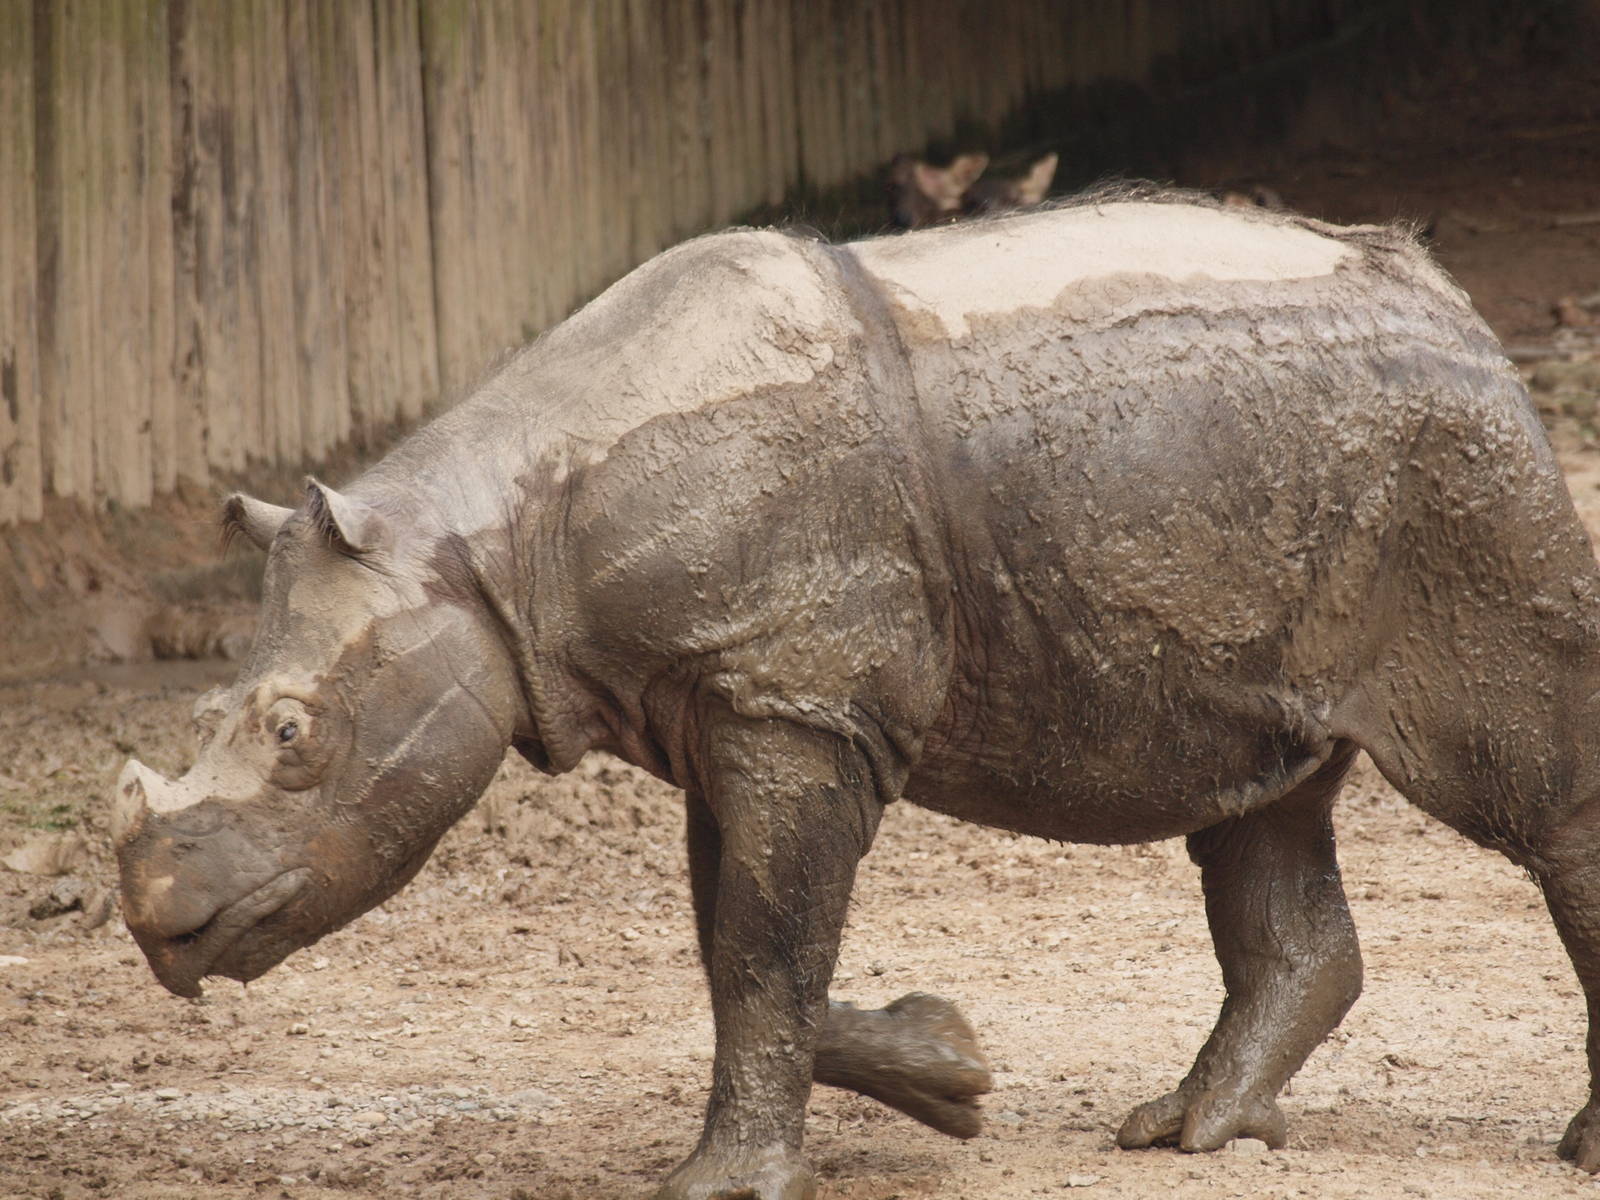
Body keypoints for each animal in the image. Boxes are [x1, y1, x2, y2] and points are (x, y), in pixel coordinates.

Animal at [114, 188, 1600, 1200]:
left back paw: (1567, 1147)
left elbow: (763, 945)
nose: (156, 926)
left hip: (1451, 465)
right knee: (1258, 792)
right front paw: (951, 1071)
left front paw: (723, 1185)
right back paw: (1192, 1134)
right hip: (1294, 488)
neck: (489, 543)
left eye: (292, 733)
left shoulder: (793, 705)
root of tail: (1453, 299)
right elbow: (737, 945)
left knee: (1517, 785)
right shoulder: (736, 702)